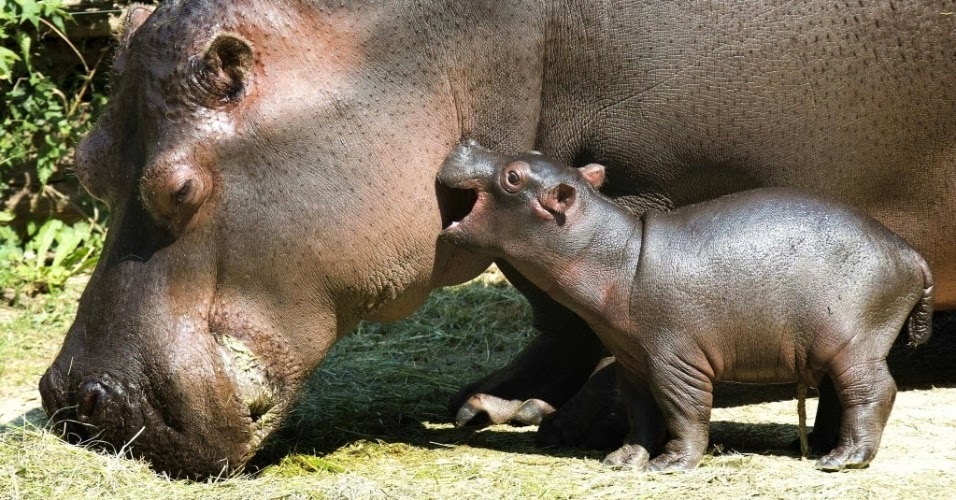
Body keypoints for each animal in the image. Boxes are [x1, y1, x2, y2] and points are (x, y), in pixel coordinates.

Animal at [438, 142, 932, 472]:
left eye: (513, 176)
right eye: (533, 151)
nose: (467, 142)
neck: (617, 253)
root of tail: (912, 254)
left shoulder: (675, 359)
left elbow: (685, 409)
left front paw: (670, 465)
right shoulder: (633, 361)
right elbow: (640, 412)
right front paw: (624, 459)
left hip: (854, 343)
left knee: (873, 390)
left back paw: (843, 459)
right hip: (835, 348)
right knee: (845, 394)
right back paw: (824, 448)